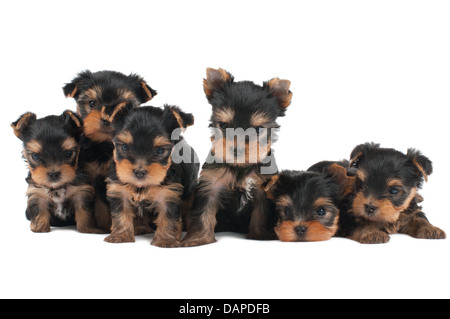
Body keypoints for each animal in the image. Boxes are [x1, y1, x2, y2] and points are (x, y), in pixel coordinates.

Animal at [61, 70, 156, 231]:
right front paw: (105, 226)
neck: (106, 144)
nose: (107, 119)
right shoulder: (94, 176)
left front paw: (139, 227)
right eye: (92, 103)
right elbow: (101, 205)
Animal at [105, 106, 199, 249]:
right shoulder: (119, 190)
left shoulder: (169, 193)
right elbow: (120, 214)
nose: (139, 172)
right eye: (125, 147)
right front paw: (120, 236)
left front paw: (166, 241)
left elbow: (168, 218)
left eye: (159, 150)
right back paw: (140, 228)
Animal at [181, 67, 294, 248]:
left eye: (258, 130)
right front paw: (198, 238)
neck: (241, 167)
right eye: (224, 125)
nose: (237, 150)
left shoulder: (263, 187)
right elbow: (203, 212)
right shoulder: (210, 184)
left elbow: (262, 213)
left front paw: (261, 236)